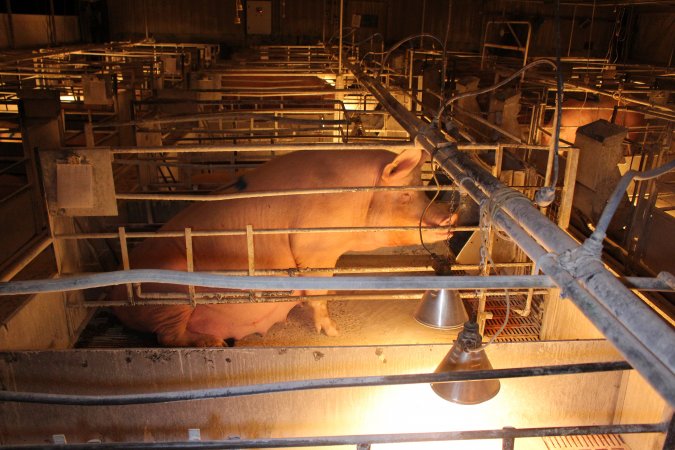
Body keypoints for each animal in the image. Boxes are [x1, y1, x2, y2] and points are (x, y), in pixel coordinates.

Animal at [113, 149, 456, 346]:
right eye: (407, 195)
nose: (451, 217)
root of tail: (112, 299)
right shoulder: (315, 248)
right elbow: (319, 294)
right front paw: (334, 332)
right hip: (170, 294)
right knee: (168, 336)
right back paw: (214, 344)